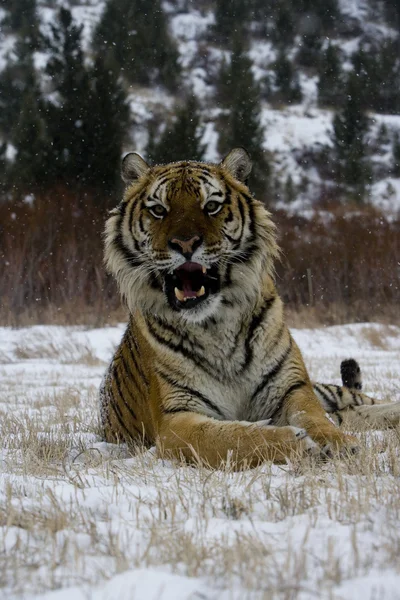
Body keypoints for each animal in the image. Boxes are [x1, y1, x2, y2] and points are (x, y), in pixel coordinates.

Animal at [100, 146, 400, 468]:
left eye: (211, 206)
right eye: (158, 209)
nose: (185, 243)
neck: (215, 324)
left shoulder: (291, 386)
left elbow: (314, 417)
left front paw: (338, 443)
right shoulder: (176, 419)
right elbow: (232, 438)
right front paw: (298, 444)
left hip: (327, 389)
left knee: (352, 407)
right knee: (347, 414)